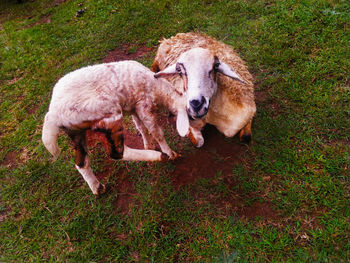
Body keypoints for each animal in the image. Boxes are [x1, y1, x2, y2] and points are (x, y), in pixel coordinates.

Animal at [42, 60, 190, 196]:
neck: (160, 91)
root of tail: (53, 114)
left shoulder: (134, 108)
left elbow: (141, 127)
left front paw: (148, 144)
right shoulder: (143, 105)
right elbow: (156, 132)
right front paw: (169, 153)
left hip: (76, 132)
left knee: (81, 163)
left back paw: (97, 187)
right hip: (109, 114)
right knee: (117, 153)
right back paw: (158, 156)